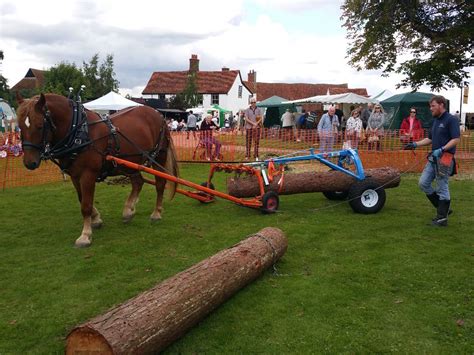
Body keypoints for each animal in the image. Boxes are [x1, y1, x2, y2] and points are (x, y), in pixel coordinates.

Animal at [15, 94, 178, 248]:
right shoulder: (75, 175)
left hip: (159, 156)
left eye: (39, 126)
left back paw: (156, 213)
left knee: (160, 183)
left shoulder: (88, 174)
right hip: (130, 163)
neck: (79, 132)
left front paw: (85, 236)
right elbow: (82, 199)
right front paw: (96, 219)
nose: (30, 163)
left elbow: (86, 205)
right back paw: (128, 210)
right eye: (20, 126)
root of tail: (158, 114)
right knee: (138, 182)